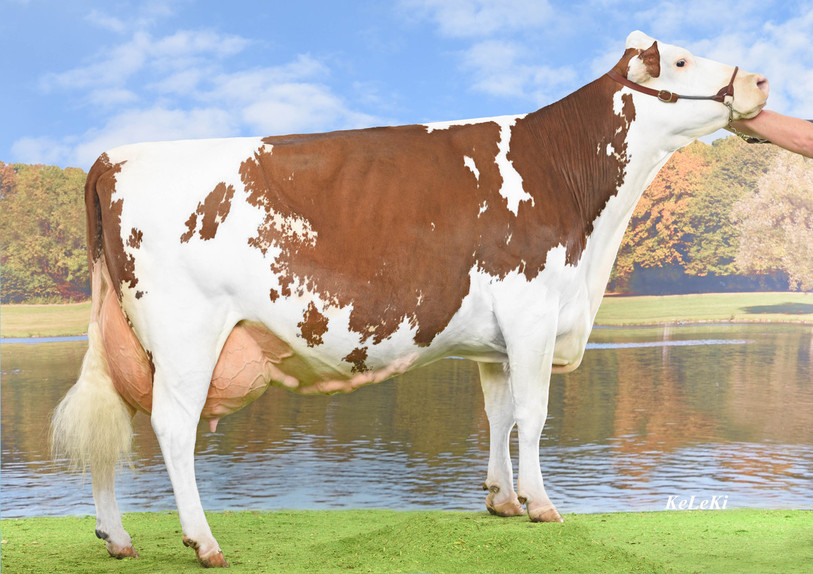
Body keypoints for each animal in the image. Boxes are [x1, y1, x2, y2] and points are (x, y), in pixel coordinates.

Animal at [51, 31, 769, 567]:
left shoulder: (495, 342)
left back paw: (117, 536)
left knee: (108, 423)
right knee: (171, 427)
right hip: (185, 335)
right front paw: (540, 505)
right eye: (681, 60)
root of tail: (113, 157)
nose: (759, 81)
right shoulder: (532, 314)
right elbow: (532, 416)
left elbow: (498, 415)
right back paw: (203, 541)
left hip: (123, 335)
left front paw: (500, 500)